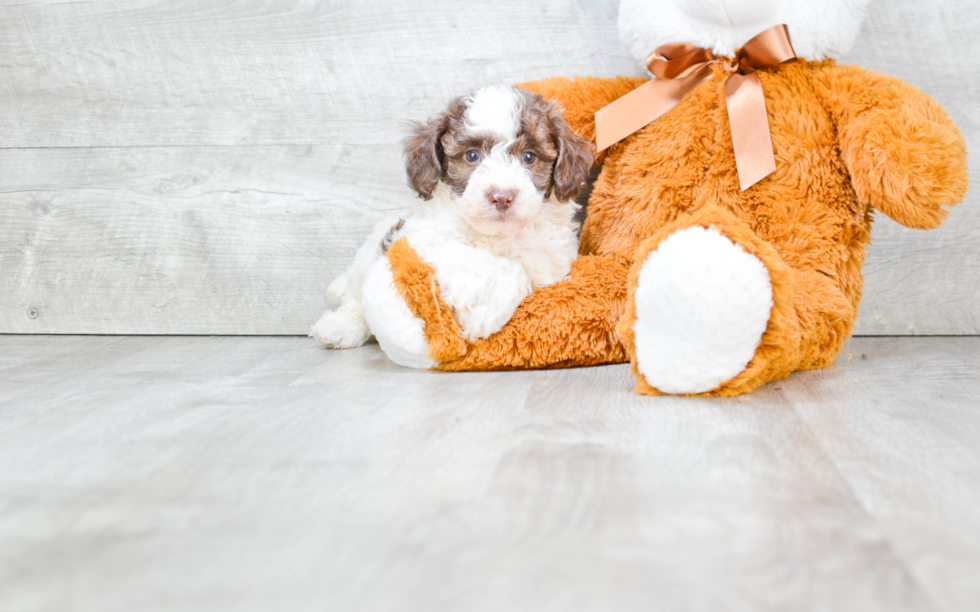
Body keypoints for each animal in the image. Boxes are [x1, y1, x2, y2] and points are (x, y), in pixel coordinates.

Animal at [312, 85, 588, 354]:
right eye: (472, 156)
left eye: (529, 157)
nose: (501, 197)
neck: (494, 235)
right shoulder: (416, 241)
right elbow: (467, 255)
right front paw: (483, 306)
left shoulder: (549, 265)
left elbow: (523, 269)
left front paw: (485, 312)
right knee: (356, 300)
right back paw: (339, 327)